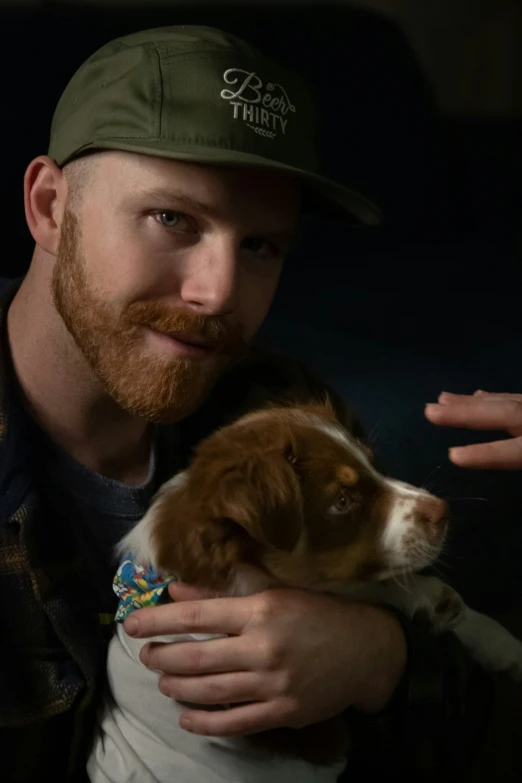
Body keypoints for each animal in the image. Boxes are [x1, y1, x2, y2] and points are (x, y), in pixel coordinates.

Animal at [87, 402, 520, 780]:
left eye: (372, 465)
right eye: (342, 501)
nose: (443, 511)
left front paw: (495, 638)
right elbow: (369, 586)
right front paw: (444, 608)